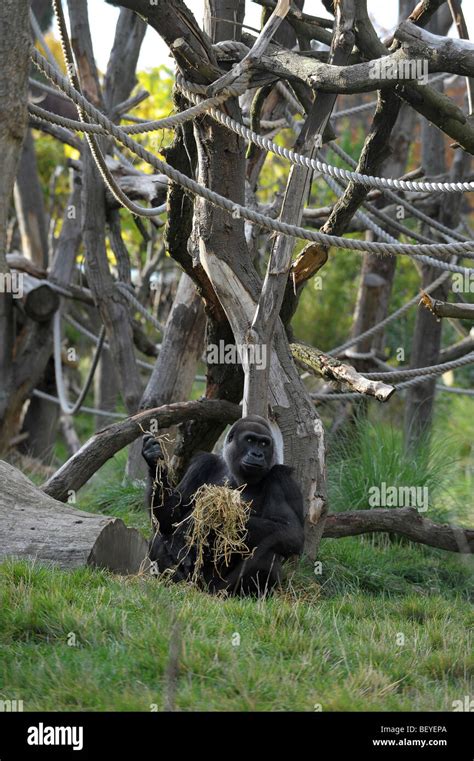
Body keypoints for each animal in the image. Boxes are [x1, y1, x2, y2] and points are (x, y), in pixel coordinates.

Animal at [143, 412, 304, 596]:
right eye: (250, 440)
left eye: (264, 443)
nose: (257, 454)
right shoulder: (202, 464)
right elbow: (169, 520)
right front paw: (153, 459)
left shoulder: (281, 478)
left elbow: (291, 531)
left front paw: (211, 519)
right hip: (195, 581)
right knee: (158, 538)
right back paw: (177, 585)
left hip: (220, 588)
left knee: (268, 552)